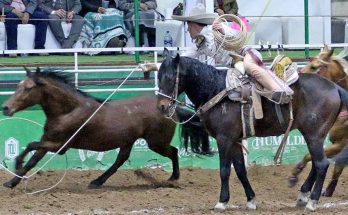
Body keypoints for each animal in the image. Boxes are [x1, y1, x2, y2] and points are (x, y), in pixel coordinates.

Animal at [0, 68, 204, 189]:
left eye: (28, 88)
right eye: (18, 85)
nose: (6, 108)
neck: (68, 111)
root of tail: (170, 108)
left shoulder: (59, 145)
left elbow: (30, 146)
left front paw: (16, 167)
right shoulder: (48, 141)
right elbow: (32, 159)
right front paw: (12, 181)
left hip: (156, 142)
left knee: (174, 151)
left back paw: (173, 178)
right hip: (128, 141)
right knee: (120, 160)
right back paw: (97, 181)